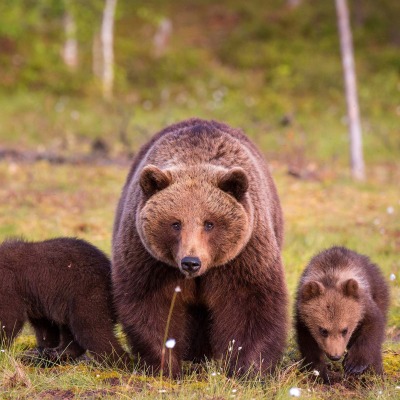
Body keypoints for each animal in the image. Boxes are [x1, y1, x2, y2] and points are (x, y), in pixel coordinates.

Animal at [112, 117, 288, 376]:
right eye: (175, 223)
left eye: (209, 223)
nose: (191, 262)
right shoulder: (151, 260)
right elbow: (152, 305)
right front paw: (166, 364)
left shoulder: (243, 256)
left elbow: (251, 303)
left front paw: (248, 368)